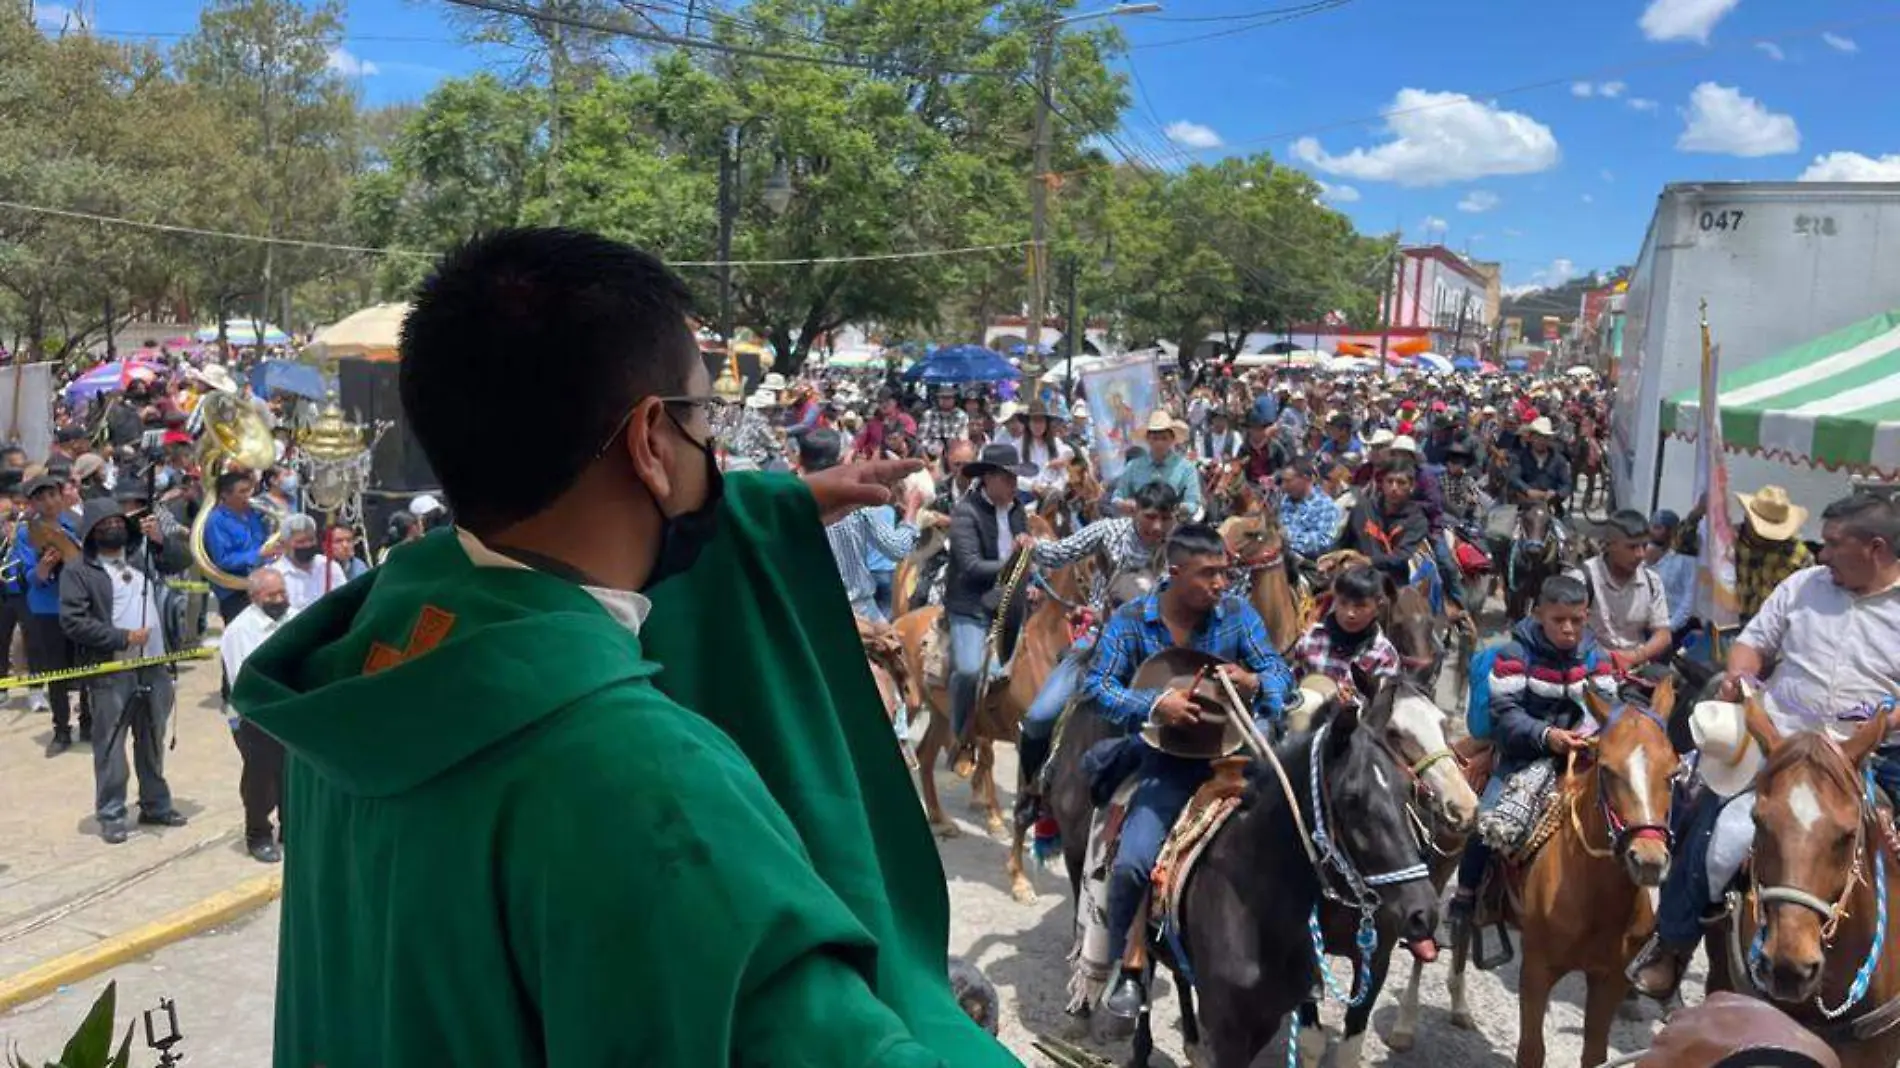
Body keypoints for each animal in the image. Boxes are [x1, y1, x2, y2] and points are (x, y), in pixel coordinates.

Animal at [893, 516, 1079, 832]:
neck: (1041, 649)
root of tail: (899, 625)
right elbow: (994, 761)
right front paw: (994, 816)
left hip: (941, 713)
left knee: (926, 756)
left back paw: (941, 818)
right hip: (913, 703)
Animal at [1292, 672, 1482, 1064]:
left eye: (1442, 725)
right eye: (1394, 733)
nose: (1464, 807)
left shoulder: (1377, 958)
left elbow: (1351, 1044)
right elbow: (1309, 1039)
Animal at [1436, 672, 1679, 1064]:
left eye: (1674, 773)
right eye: (1606, 769)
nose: (1648, 860)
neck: (1596, 900)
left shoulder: (1610, 980)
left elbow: (1595, 1054)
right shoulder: (1537, 969)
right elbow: (1532, 1051)